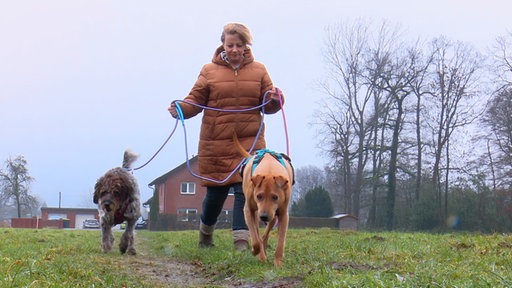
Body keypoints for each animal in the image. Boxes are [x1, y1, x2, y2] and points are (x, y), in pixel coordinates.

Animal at [234, 136, 294, 266]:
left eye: (275, 197)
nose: (264, 216)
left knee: (266, 232)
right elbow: (255, 239)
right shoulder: (249, 211)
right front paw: (255, 251)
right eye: (259, 196)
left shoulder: (283, 214)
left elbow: (281, 241)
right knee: (257, 233)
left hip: (273, 216)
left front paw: (278, 263)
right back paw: (261, 255)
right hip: (257, 214)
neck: (269, 168)